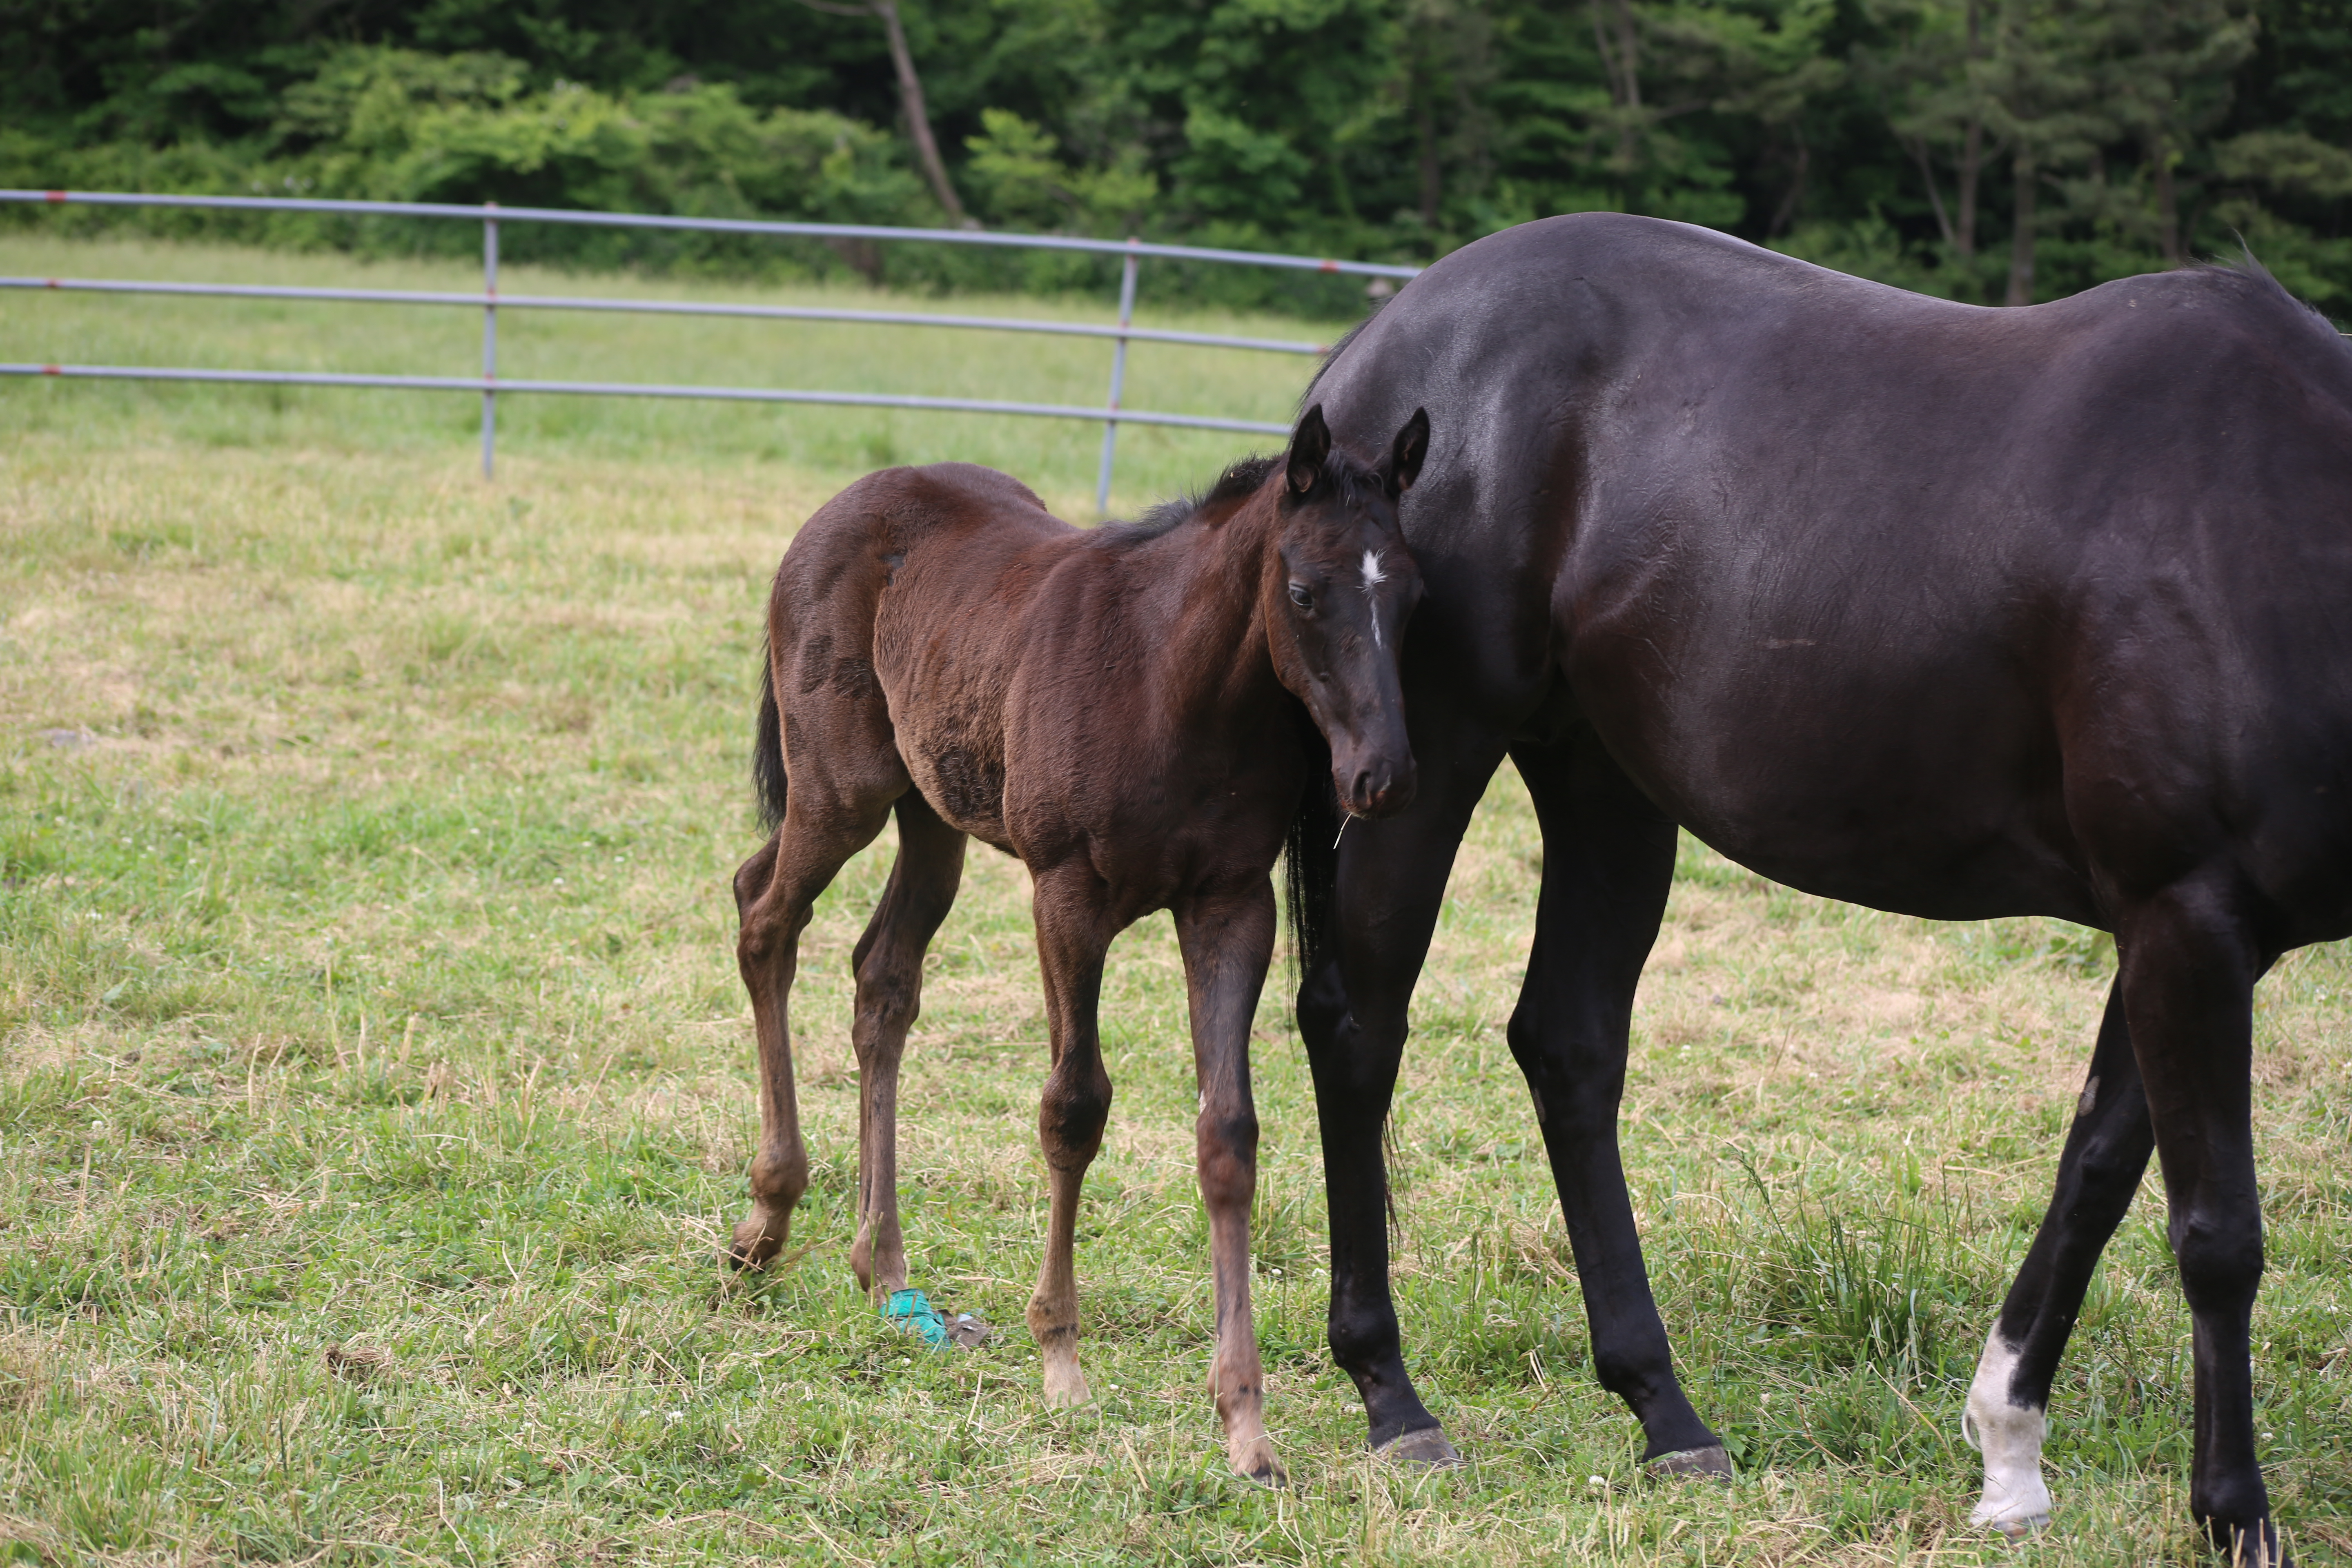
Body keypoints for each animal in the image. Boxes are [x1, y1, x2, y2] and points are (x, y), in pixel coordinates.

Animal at [724, 404, 1421, 1486]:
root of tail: (844, 504)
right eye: (1304, 591)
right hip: (841, 788)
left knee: (881, 981)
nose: (1379, 776)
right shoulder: (1066, 893)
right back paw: (766, 1219)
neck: (1173, 684)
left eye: (1414, 594)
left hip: (933, 814)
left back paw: (884, 1268)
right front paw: (1060, 1359)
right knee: (764, 916)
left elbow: (1228, 1135)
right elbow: (1073, 1108)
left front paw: (1245, 1425)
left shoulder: (1231, 908)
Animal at [1298, 212, 2342, 1568]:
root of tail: (1379, 341)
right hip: (1417, 768)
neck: (2275, 529)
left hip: (1602, 777)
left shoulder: (2178, 927)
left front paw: (2010, 1449)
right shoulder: (2189, 914)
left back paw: (1664, 1410)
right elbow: (2215, 1231)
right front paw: (2235, 1512)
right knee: (1360, 1032)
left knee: (1569, 1048)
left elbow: (2098, 1174)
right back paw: (1393, 1397)